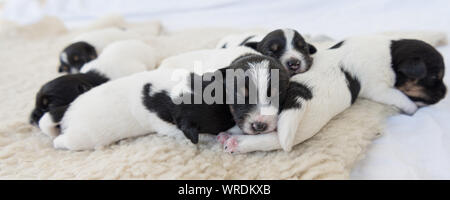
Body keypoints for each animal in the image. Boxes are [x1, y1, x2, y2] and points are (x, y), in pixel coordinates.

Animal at [221, 35, 446, 153]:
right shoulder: (379, 89)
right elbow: (402, 98)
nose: (445, 93)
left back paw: (230, 135)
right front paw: (413, 108)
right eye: (435, 78)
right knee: (274, 140)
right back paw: (238, 144)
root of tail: (299, 95)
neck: (391, 54)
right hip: (301, 128)